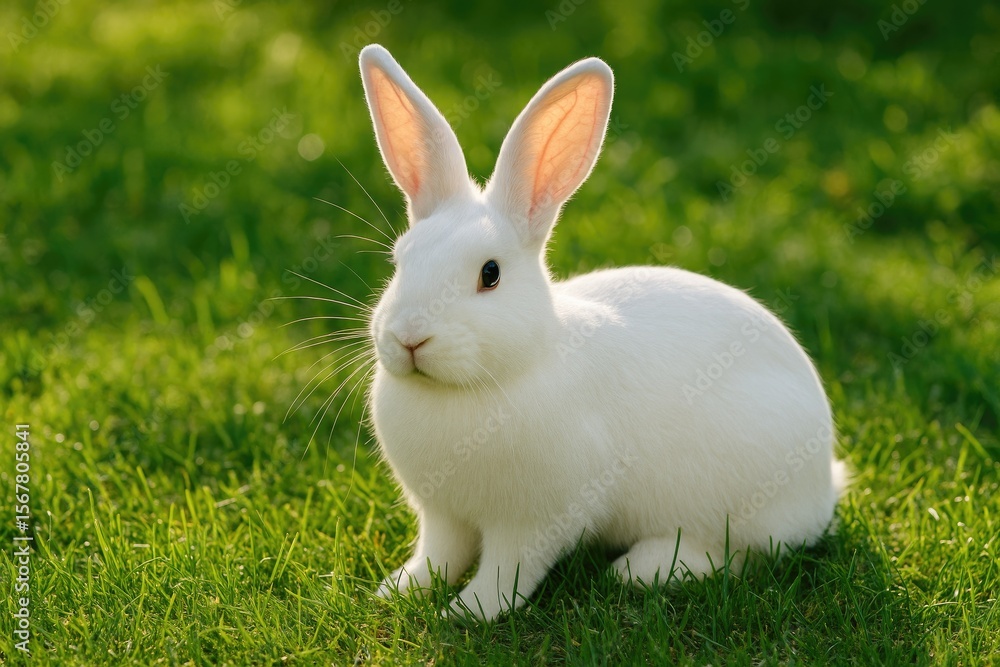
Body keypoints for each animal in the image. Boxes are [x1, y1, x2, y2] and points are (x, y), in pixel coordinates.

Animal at [358, 44, 845, 622]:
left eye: (490, 274)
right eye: (399, 261)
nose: (410, 338)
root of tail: (825, 483)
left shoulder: (536, 521)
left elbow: (509, 569)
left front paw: (469, 612)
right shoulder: (442, 514)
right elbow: (439, 554)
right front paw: (400, 590)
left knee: (737, 553)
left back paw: (644, 569)